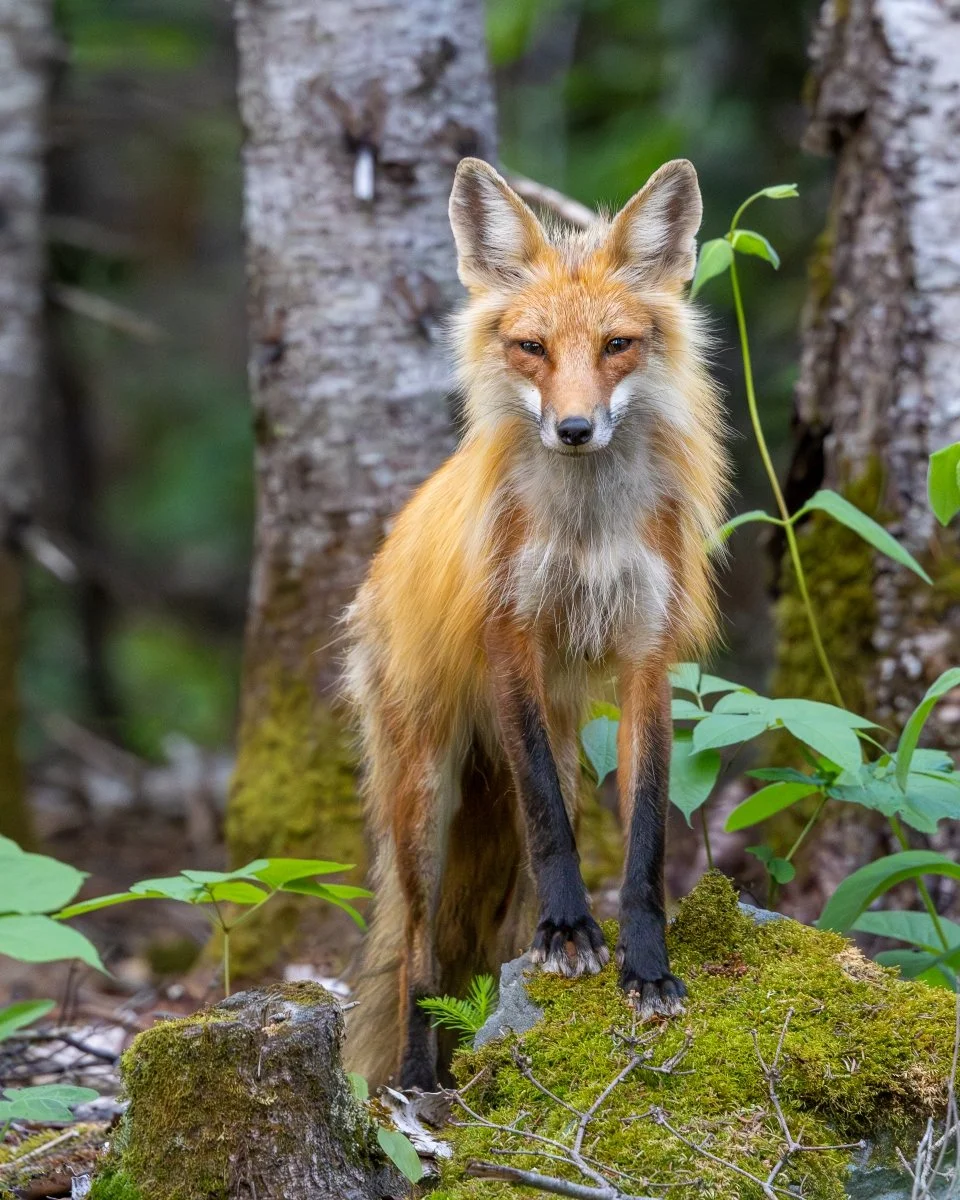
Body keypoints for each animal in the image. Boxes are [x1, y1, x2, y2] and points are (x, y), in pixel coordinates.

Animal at [342, 156, 728, 1090]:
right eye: (533, 348)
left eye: (617, 346)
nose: (575, 429)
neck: (586, 532)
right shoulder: (510, 636)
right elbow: (551, 822)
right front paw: (571, 935)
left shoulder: (646, 652)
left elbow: (648, 837)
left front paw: (646, 968)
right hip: (424, 802)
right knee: (417, 954)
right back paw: (419, 1083)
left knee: (500, 922)